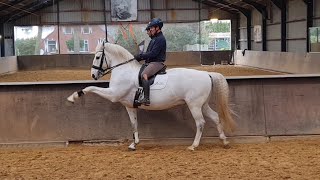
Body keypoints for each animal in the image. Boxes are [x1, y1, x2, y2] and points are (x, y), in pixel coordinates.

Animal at [67, 41, 235, 150]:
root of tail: (207, 74)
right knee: (215, 117)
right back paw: (224, 141)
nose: (93, 75)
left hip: (194, 105)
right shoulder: (129, 106)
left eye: (97, 57)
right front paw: (134, 144)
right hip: (202, 104)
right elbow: (134, 124)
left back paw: (193, 146)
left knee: (200, 123)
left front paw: (73, 96)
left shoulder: (113, 94)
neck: (124, 70)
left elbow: (91, 88)